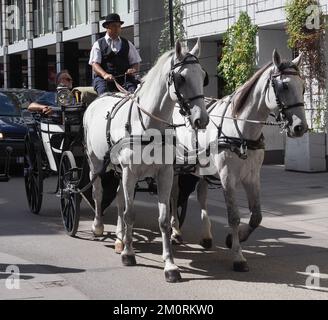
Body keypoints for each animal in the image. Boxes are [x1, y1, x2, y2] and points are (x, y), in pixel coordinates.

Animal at [83, 40, 209, 282]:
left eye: (203, 76)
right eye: (181, 78)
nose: (202, 119)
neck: (148, 125)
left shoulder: (165, 174)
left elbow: (163, 219)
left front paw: (170, 265)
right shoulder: (130, 172)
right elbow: (130, 213)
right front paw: (129, 254)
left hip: (118, 170)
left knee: (120, 198)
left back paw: (120, 238)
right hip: (95, 163)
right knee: (98, 193)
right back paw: (99, 227)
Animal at [170, 50, 308, 272]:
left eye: (303, 87)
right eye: (284, 86)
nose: (300, 127)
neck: (242, 130)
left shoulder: (252, 176)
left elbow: (256, 216)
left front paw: (234, 238)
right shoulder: (228, 177)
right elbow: (233, 216)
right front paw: (238, 256)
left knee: (201, 196)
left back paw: (206, 235)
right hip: (174, 168)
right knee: (174, 196)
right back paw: (175, 231)